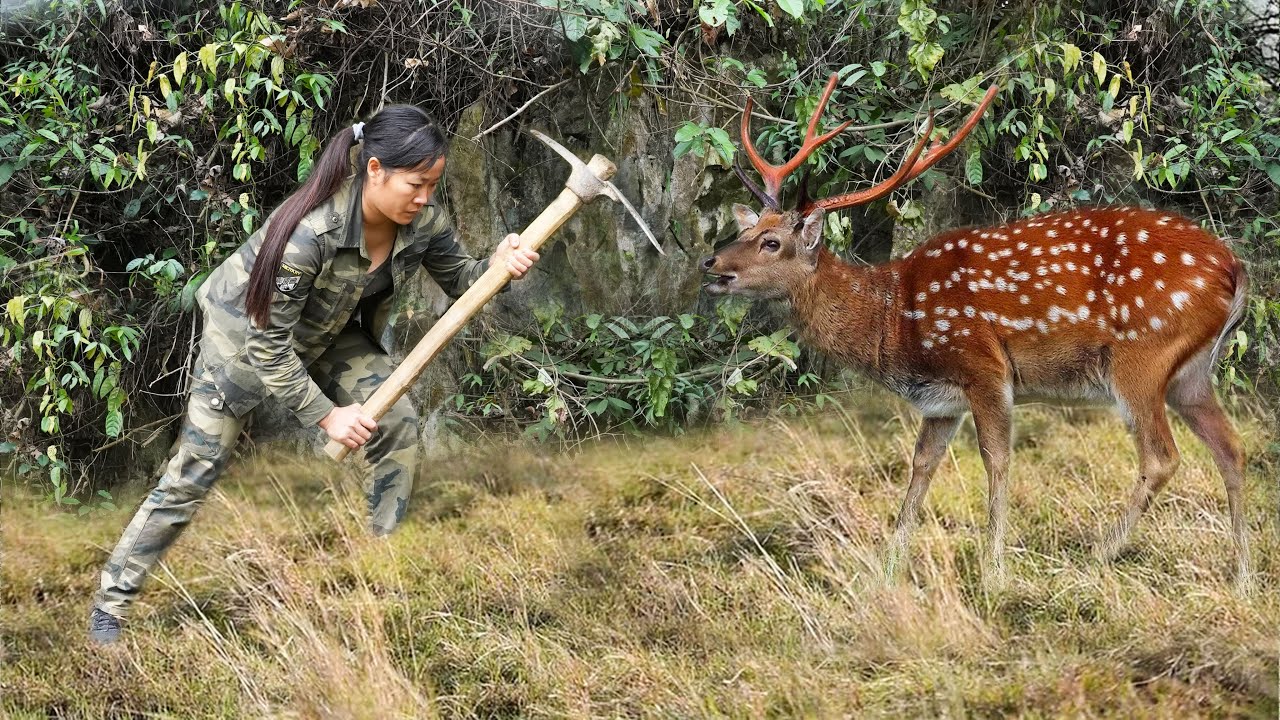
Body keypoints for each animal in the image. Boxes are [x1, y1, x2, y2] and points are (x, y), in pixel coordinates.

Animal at [701, 73, 1251, 589]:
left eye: (772, 242)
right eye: (746, 230)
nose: (712, 264)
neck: (894, 325)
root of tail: (1234, 268)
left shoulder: (983, 366)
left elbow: (997, 460)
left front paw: (994, 571)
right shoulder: (940, 402)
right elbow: (921, 465)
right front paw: (887, 569)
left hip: (1141, 357)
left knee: (1162, 457)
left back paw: (1097, 556)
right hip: (1191, 373)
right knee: (1230, 446)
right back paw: (1242, 572)